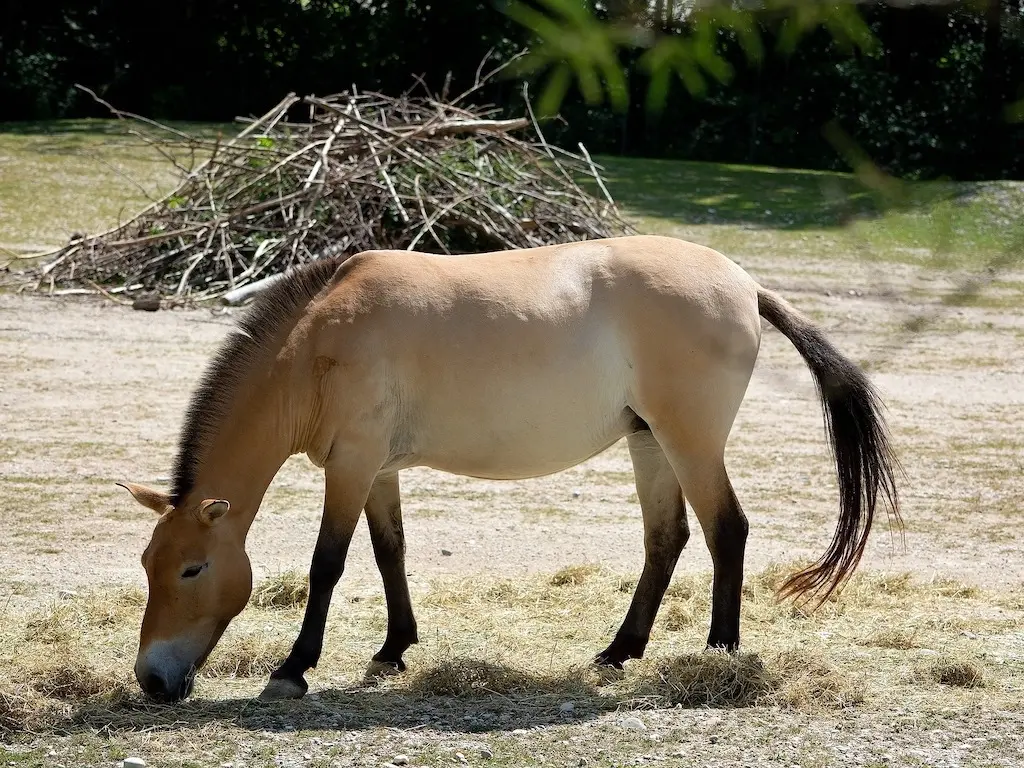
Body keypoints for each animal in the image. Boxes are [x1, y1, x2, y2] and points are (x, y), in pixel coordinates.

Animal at [119, 234, 901, 704]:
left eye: (192, 569)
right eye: (148, 564)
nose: (153, 679)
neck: (315, 344)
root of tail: (745, 284)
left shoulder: (352, 465)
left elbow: (329, 563)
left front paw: (293, 669)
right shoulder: (376, 470)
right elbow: (389, 551)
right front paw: (393, 650)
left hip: (691, 443)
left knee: (724, 531)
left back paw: (718, 652)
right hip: (651, 442)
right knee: (667, 539)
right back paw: (619, 651)